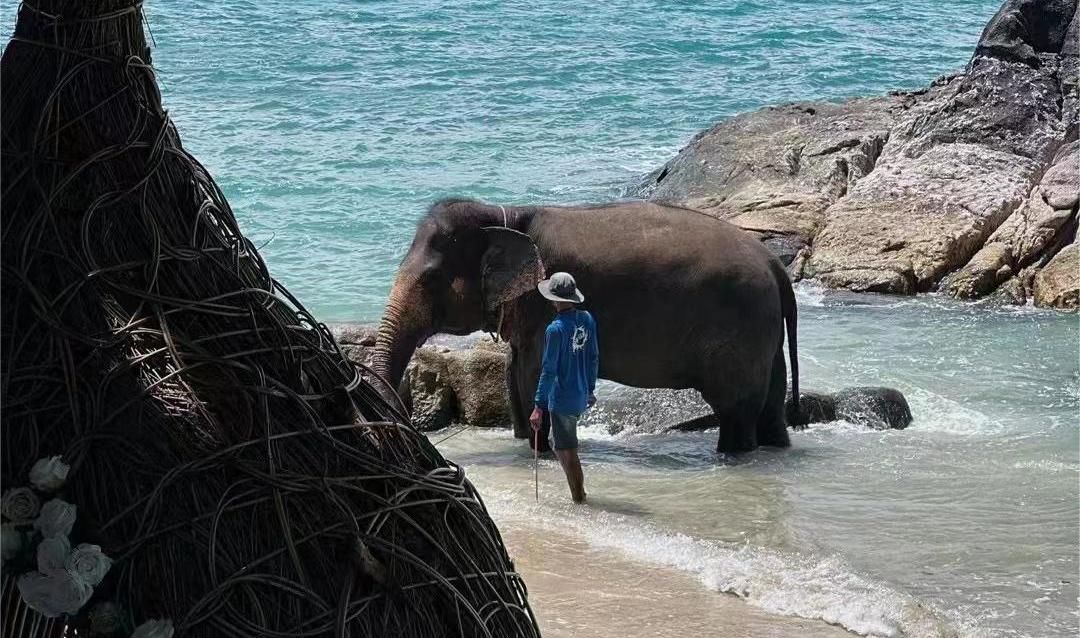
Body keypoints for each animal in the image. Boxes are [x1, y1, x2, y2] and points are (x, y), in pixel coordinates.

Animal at [371, 199, 803, 453]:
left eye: (431, 279)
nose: (399, 424)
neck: (505, 213)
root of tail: (775, 265)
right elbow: (514, 371)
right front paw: (525, 442)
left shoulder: (543, 303)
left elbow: (532, 374)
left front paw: (540, 450)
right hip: (764, 328)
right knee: (771, 400)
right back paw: (775, 447)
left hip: (742, 328)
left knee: (736, 408)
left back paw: (732, 453)